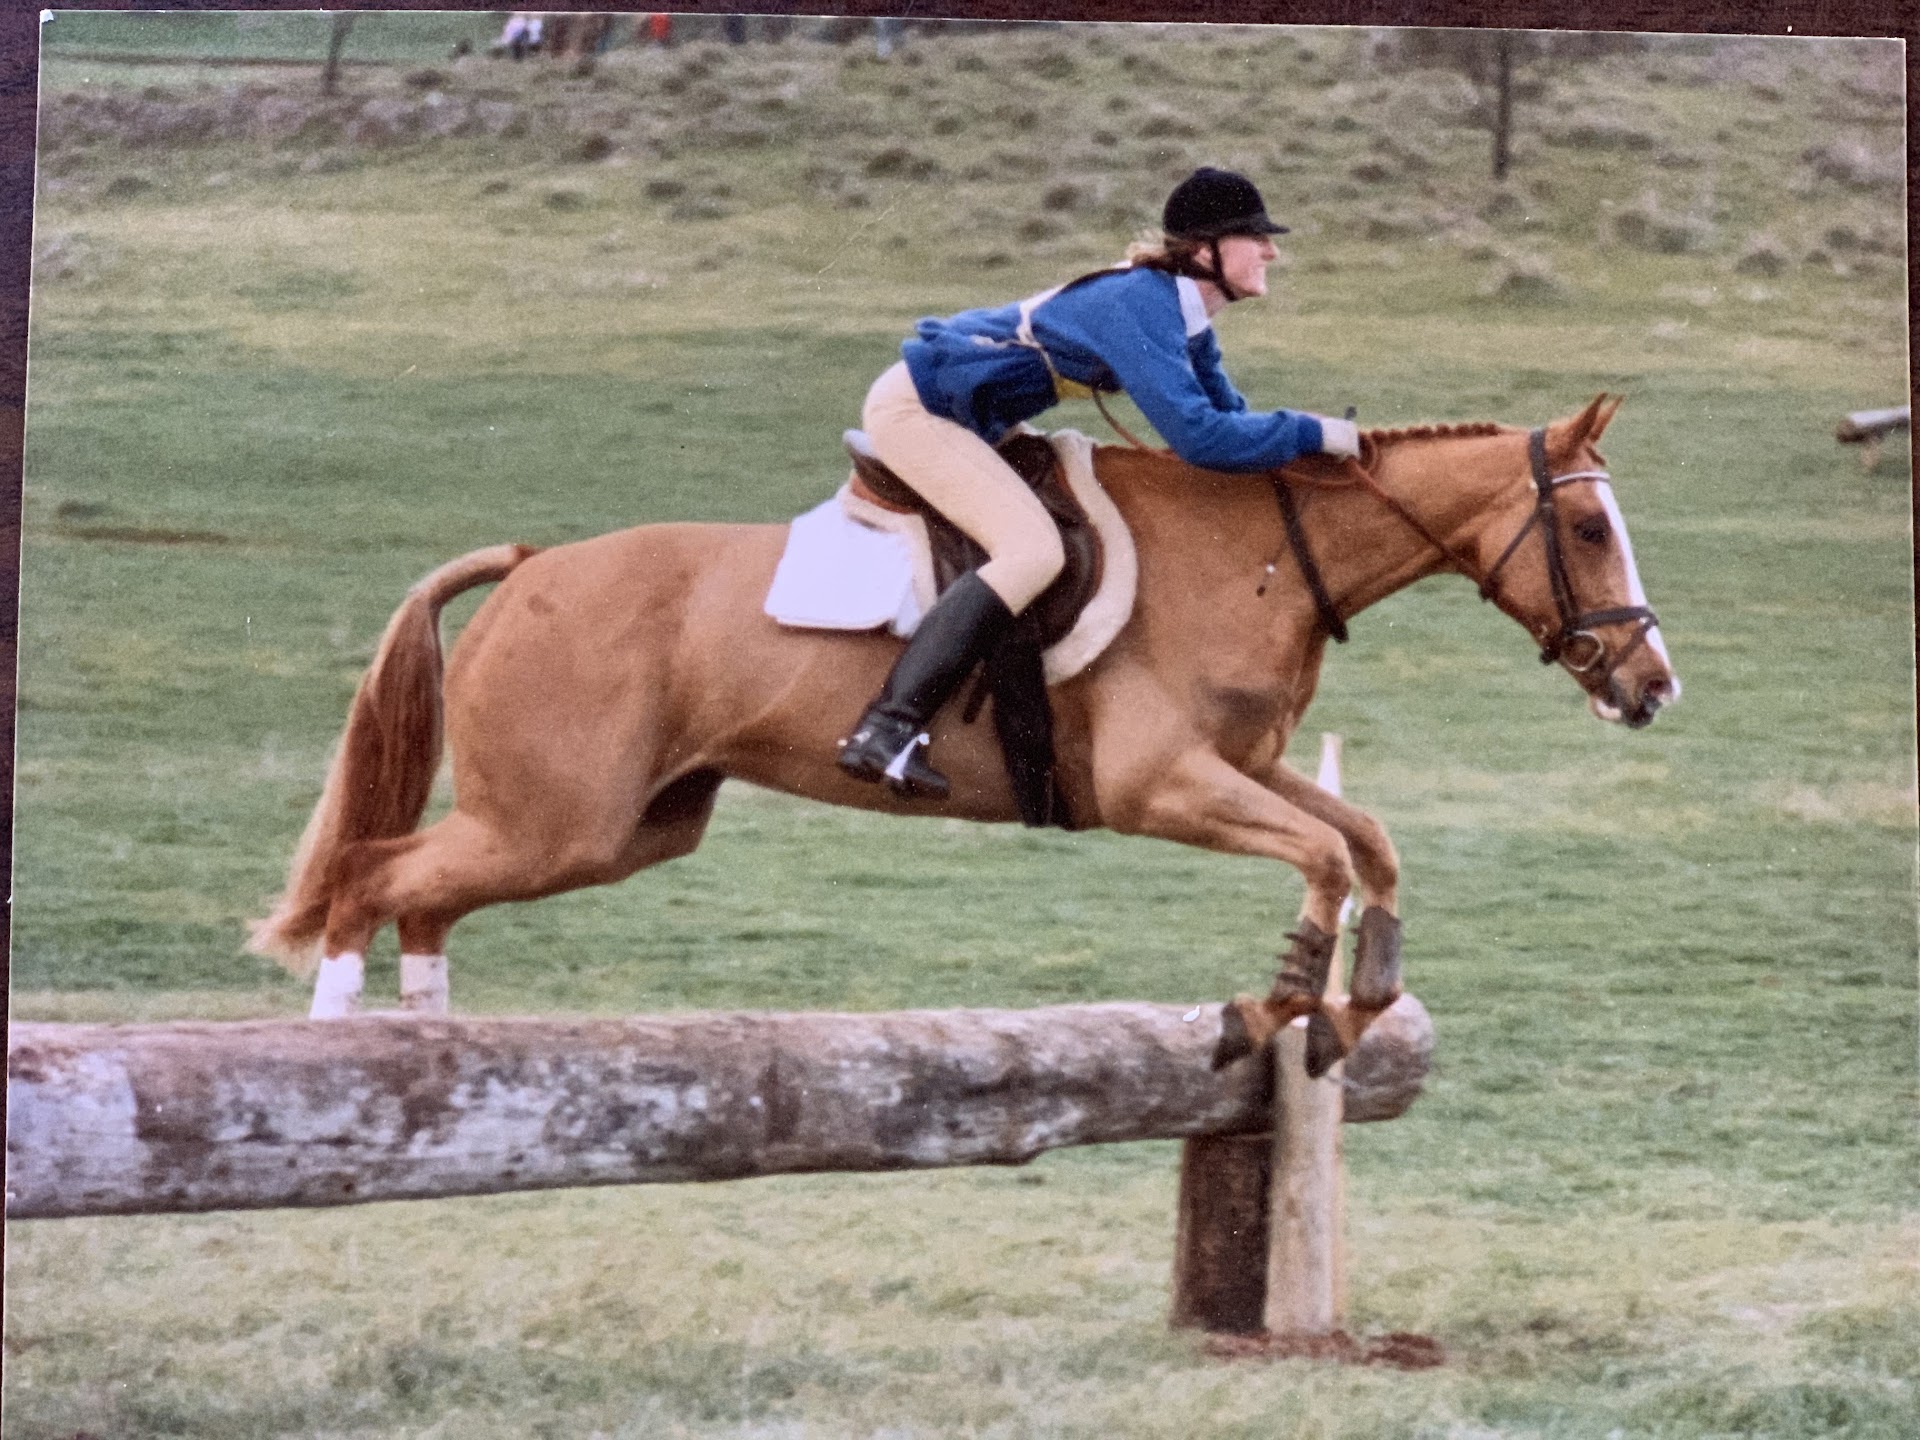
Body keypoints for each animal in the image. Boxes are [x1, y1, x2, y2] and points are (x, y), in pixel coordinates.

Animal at [248, 394, 1678, 1071]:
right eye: (1588, 527)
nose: (1652, 686)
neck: (1259, 554)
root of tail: (534, 564)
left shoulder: (1250, 768)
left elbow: (1368, 841)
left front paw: (1353, 1007)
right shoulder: (1162, 785)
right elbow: (1326, 856)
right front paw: (1272, 1010)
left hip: (619, 828)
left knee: (428, 900)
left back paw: (425, 1054)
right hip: (556, 817)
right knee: (375, 876)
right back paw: (337, 1055)